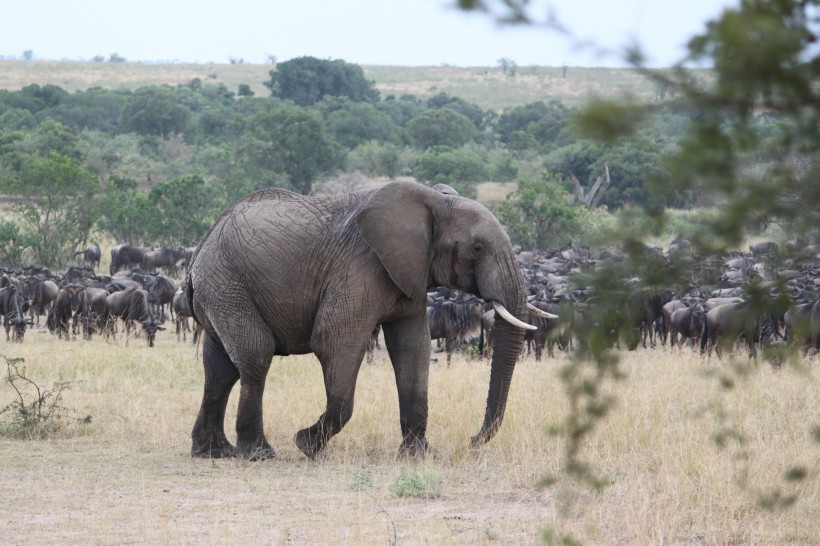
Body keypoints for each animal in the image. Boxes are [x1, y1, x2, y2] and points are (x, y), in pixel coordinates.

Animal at [184, 180, 544, 460]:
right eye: (478, 248)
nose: (472, 440)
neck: (434, 201)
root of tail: (202, 244)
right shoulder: (360, 267)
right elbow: (333, 339)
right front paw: (305, 444)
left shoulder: (410, 274)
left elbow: (412, 349)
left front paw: (420, 456)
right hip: (227, 284)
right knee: (255, 357)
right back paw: (259, 454)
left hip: (220, 290)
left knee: (220, 370)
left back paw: (214, 452)